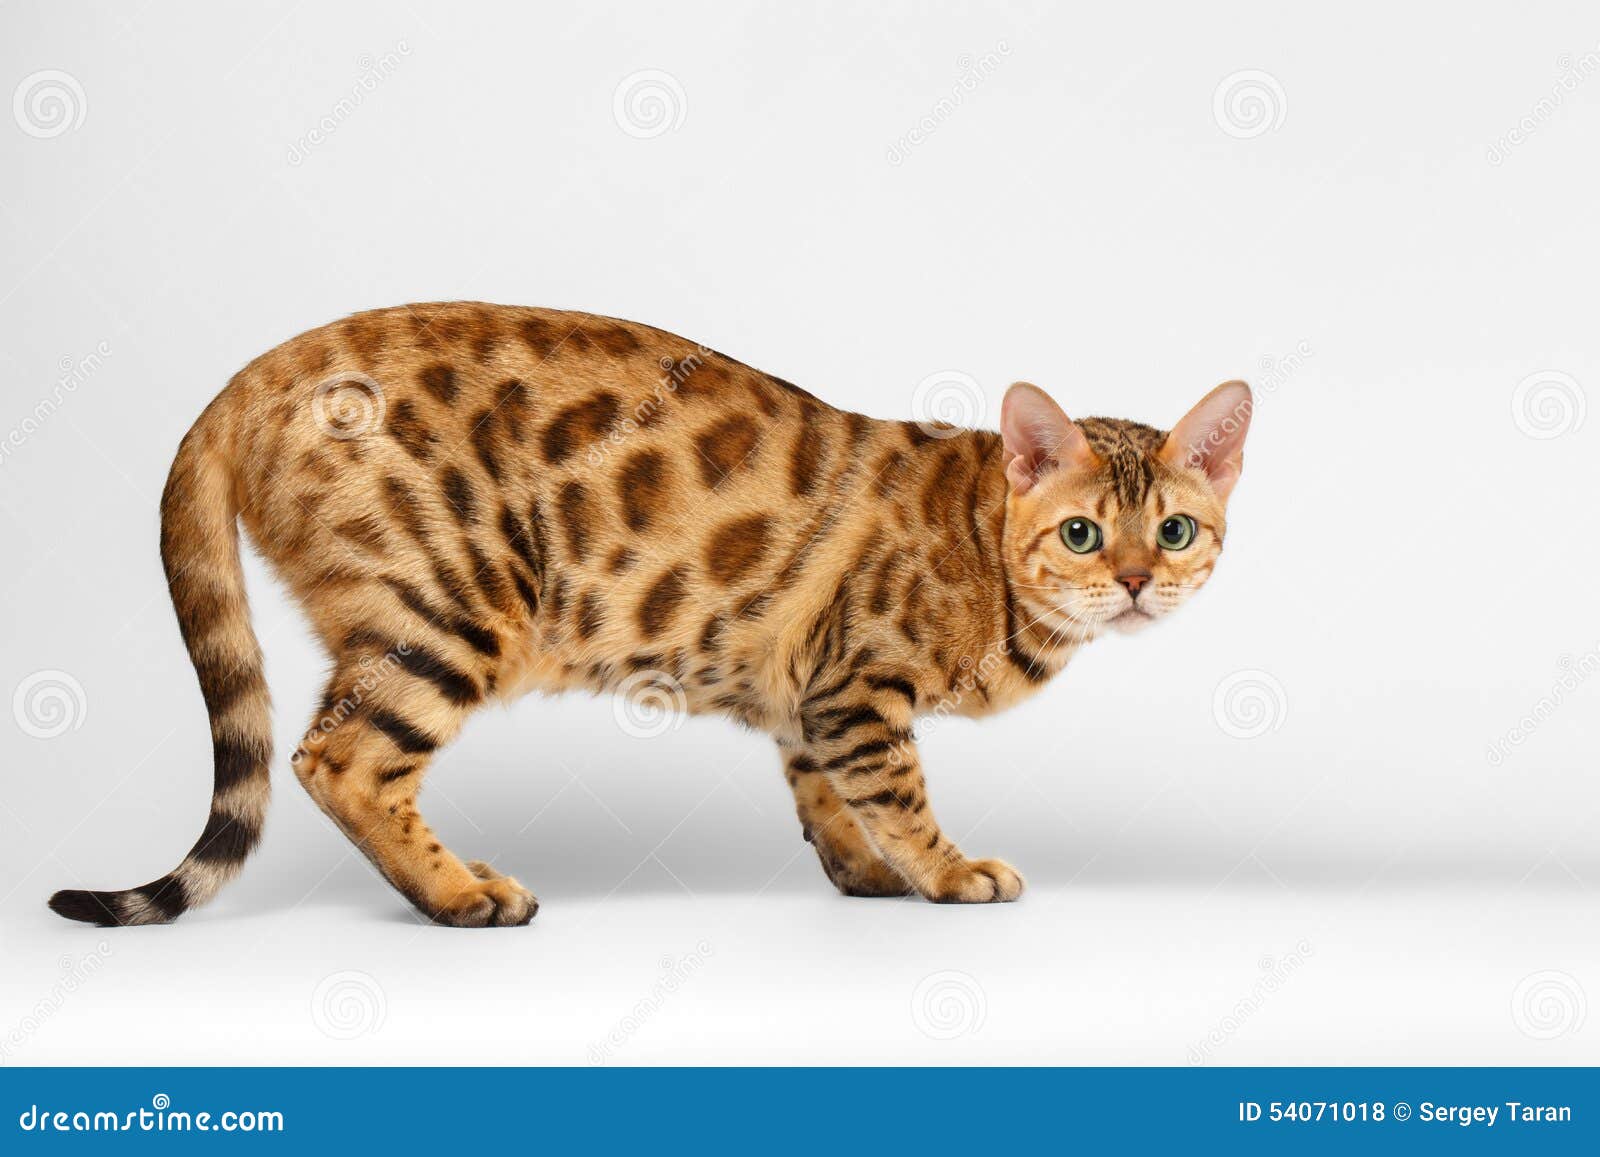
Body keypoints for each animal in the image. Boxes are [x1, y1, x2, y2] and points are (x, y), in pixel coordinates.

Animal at [46, 302, 1248, 928]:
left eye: (1175, 530)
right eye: (1084, 533)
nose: (1135, 580)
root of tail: (253, 372)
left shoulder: (806, 688)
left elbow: (825, 794)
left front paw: (862, 872)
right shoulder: (859, 682)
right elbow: (899, 792)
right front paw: (945, 874)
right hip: (452, 604)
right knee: (336, 761)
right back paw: (459, 892)